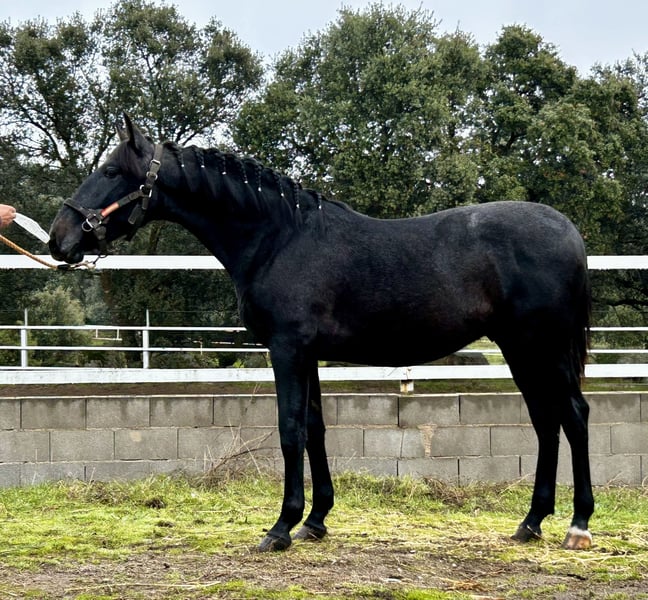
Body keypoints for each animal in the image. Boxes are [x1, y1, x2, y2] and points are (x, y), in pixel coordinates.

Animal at [49, 115, 594, 552]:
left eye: (112, 171)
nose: (60, 239)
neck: (278, 237)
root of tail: (569, 231)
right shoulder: (307, 353)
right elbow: (315, 429)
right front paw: (315, 520)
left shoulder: (287, 349)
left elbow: (290, 430)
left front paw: (280, 528)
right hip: (520, 350)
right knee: (546, 421)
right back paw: (531, 522)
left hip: (542, 348)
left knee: (573, 416)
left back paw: (578, 525)